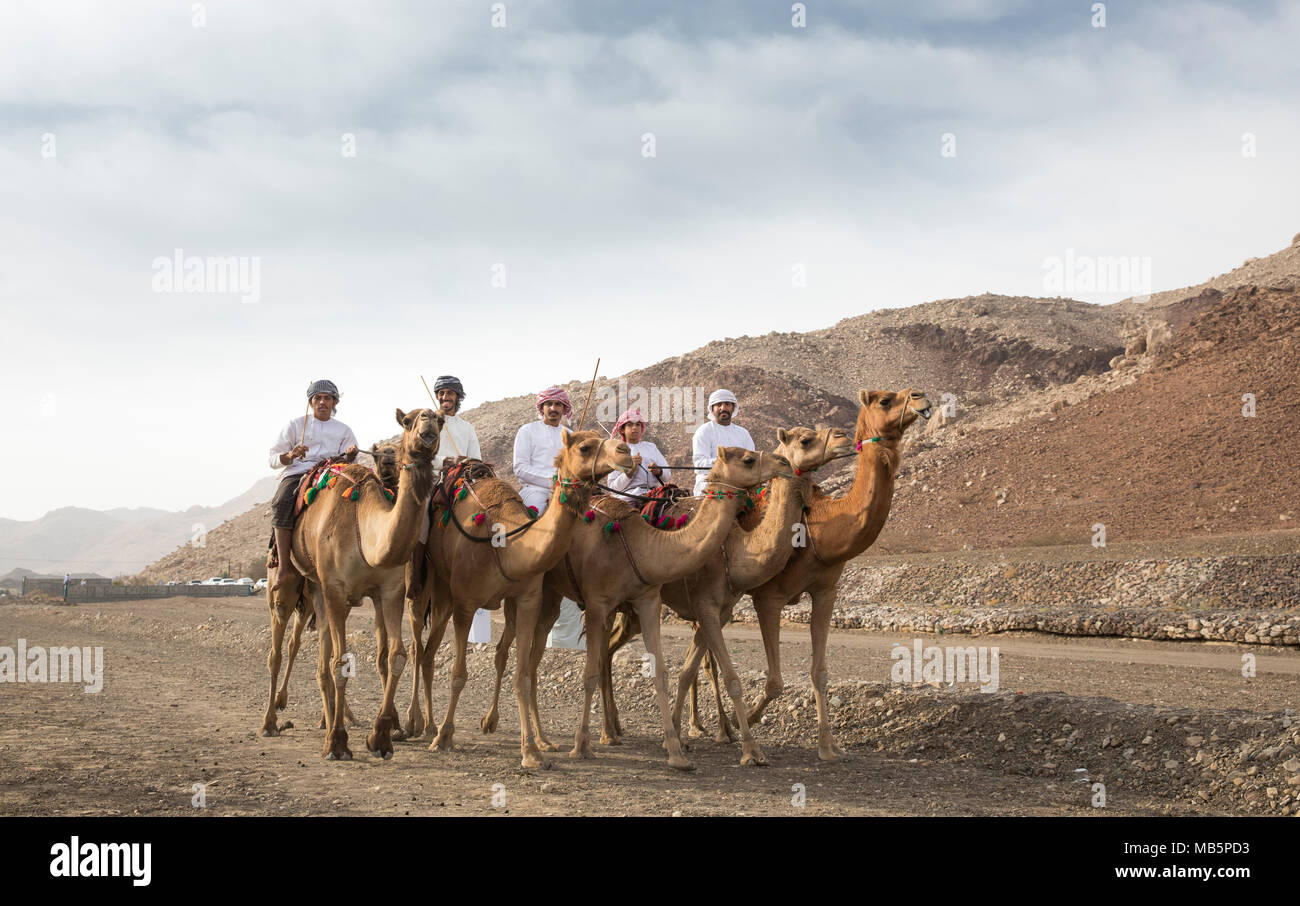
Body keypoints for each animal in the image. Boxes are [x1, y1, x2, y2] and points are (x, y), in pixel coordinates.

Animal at [276, 408, 439, 753]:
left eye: (442, 421)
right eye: (408, 421)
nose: (429, 420)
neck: (364, 531)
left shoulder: (389, 593)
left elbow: (395, 655)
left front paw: (382, 734)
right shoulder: (337, 590)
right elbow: (341, 661)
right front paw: (338, 742)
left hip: (320, 592)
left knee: (321, 659)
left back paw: (329, 721)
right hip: (292, 587)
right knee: (283, 645)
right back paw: (273, 720)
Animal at [405, 426, 629, 764]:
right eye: (585, 447)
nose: (626, 452)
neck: (507, 543)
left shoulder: (526, 602)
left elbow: (522, 676)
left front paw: (531, 751)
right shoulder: (466, 604)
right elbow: (458, 675)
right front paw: (445, 737)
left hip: (457, 597)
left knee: (432, 653)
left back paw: (434, 724)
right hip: (427, 581)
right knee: (417, 645)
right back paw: (412, 723)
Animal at [488, 444, 790, 769]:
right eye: (748, 459)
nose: (783, 462)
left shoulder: (652, 602)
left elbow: (664, 672)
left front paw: (677, 751)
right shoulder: (599, 604)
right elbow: (589, 673)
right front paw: (581, 745)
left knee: (554, 658)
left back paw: (580, 736)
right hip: (538, 592)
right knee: (513, 653)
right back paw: (505, 728)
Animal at [595, 423, 857, 764]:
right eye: (805, 440)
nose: (844, 438)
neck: (732, 549)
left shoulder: (718, 613)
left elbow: (687, 671)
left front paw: (677, 735)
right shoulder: (705, 605)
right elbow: (732, 679)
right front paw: (750, 749)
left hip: (633, 609)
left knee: (611, 647)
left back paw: (617, 726)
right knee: (601, 652)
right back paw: (606, 733)